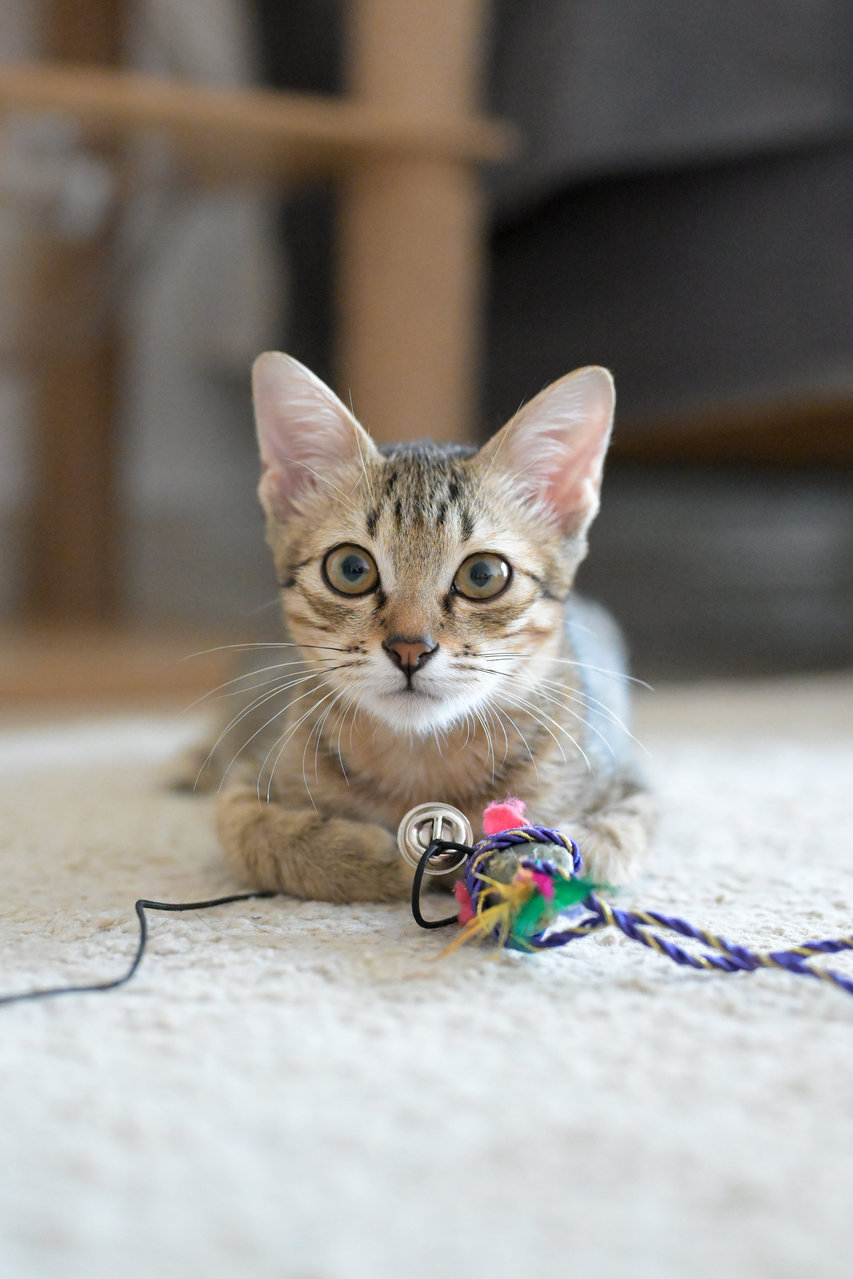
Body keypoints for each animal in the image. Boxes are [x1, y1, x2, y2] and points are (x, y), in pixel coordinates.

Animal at [213, 350, 654, 900]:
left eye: (483, 575)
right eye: (351, 569)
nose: (409, 649)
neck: (422, 758)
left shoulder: (633, 792)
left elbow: (597, 849)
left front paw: (527, 860)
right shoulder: (245, 784)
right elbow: (263, 838)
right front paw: (376, 857)